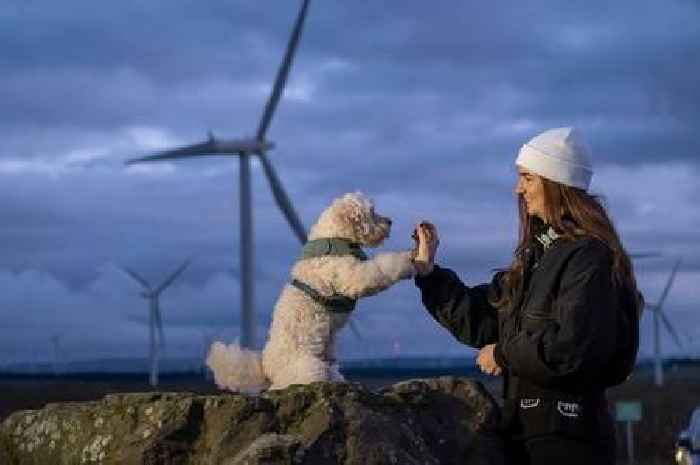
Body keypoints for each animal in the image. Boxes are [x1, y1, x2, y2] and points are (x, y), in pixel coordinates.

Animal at [208, 191, 416, 392]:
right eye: (371, 212)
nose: (390, 221)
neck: (335, 238)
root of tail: (266, 370)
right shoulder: (351, 276)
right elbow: (381, 268)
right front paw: (407, 260)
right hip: (310, 366)